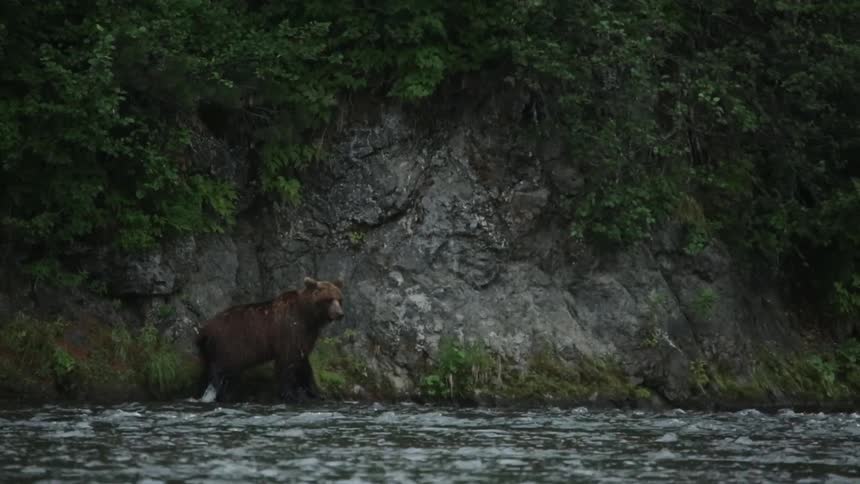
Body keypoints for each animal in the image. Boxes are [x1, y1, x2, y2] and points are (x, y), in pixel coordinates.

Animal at [196, 277, 344, 402]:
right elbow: (288, 363)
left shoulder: (306, 335)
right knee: (221, 370)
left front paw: (317, 393)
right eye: (329, 299)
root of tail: (205, 330)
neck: (308, 316)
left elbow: (303, 362)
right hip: (228, 344)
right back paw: (220, 393)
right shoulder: (290, 330)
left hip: (211, 348)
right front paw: (290, 394)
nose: (340, 314)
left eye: (339, 299)